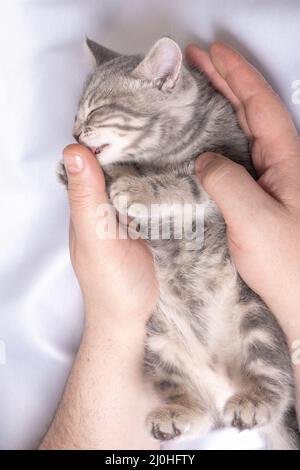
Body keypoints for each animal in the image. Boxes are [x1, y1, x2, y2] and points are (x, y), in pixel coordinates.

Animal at [59, 36, 300, 448]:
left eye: (97, 111)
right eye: (77, 115)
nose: (74, 135)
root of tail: (222, 381)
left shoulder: (233, 164)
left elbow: (188, 182)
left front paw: (138, 188)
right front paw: (97, 175)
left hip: (256, 315)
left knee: (275, 380)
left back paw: (254, 399)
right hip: (158, 345)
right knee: (201, 414)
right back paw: (177, 414)